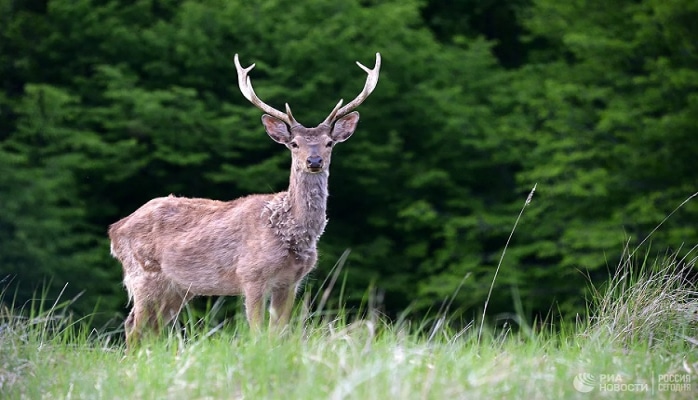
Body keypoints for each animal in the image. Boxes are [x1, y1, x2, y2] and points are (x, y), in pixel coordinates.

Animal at [109, 52, 380, 346]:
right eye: (294, 143)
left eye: (329, 143)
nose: (315, 161)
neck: (289, 230)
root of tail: (115, 229)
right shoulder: (251, 275)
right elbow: (257, 331)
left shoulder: (291, 282)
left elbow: (279, 333)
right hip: (143, 274)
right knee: (133, 326)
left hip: (177, 287)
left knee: (152, 329)